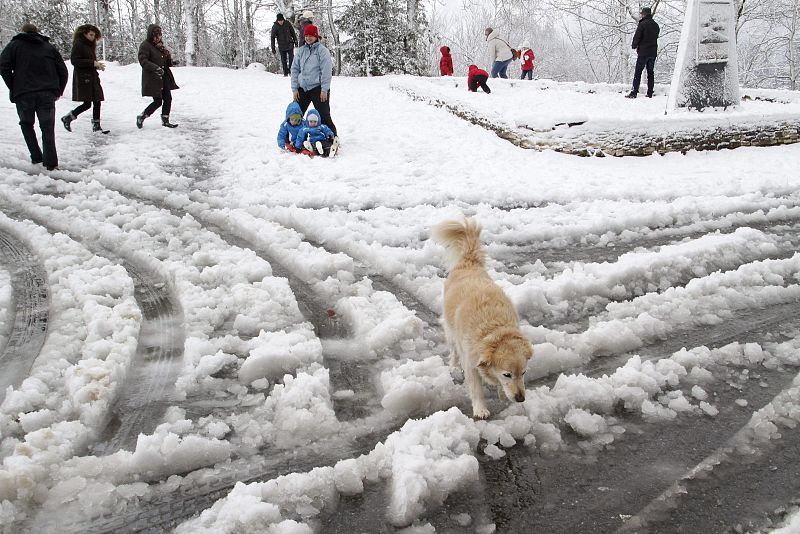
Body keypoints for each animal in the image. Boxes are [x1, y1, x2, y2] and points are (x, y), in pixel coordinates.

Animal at [432, 218, 532, 418]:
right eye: (507, 374)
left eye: (523, 373)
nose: (520, 399)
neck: (494, 330)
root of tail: (468, 263)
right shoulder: (471, 362)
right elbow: (476, 388)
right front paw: (480, 409)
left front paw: (502, 394)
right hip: (451, 331)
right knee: (453, 350)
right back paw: (454, 367)